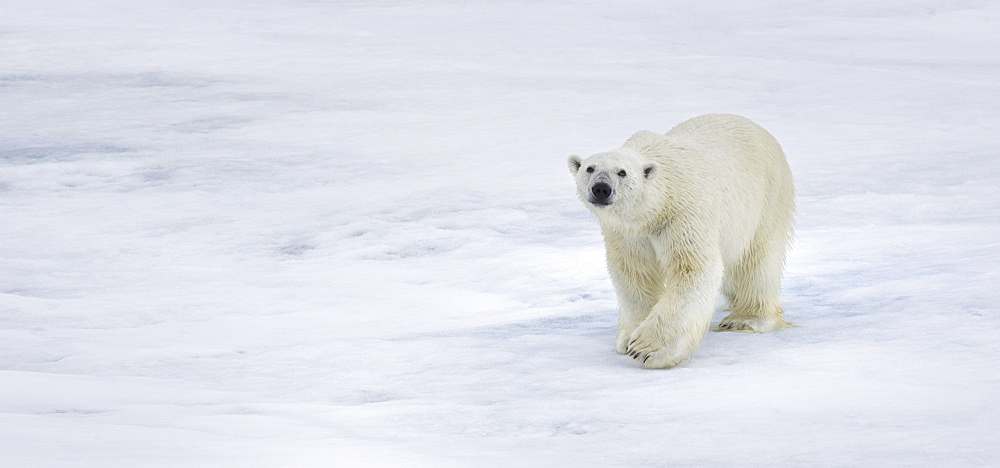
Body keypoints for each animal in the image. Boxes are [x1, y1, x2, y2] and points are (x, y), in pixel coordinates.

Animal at [572, 114, 796, 370]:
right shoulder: (628, 233)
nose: (601, 188)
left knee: (759, 259)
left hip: (767, 197)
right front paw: (627, 338)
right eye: (590, 168)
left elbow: (692, 269)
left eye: (622, 172)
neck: (656, 206)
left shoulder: (683, 213)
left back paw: (745, 319)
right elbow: (633, 274)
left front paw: (647, 349)